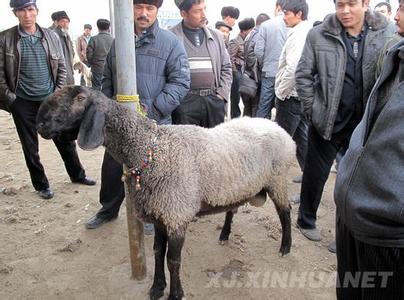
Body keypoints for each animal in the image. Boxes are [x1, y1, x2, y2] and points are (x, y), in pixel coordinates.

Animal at [37, 85, 296, 300]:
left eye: (80, 98)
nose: (40, 124)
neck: (149, 150)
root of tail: (277, 127)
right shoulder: (160, 216)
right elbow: (157, 252)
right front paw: (156, 288)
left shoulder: (176, 216)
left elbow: (173, 260)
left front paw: (175, 294)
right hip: (237, 187)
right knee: (232, 209)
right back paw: (224, 234)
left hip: (277, 180)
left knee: (285, 212)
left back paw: (285, 247)